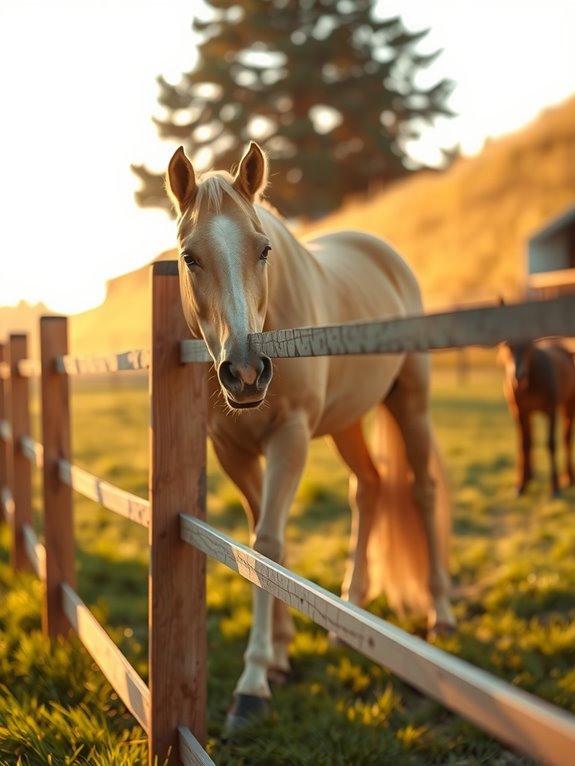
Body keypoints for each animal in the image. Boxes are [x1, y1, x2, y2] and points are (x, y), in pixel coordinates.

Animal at [166, 141, 455, 733]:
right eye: (189, 257)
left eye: (263, 250)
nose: (246, 372)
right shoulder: (232, 451)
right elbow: (261, 541)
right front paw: (279, 655)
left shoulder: (291, 437)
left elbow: (267, 545)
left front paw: (253, 682)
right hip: (347, 424)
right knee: (368, 487)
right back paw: (352, 609)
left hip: (409, 402)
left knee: (421, 490)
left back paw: (440, 613)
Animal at [499, 339, 575, 496]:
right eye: (509, 346)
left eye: (528, 346)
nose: (518, 376)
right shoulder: (521, 412)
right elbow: (525, 444)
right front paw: (520, 486)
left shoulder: (551, 411)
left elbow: (551, 444)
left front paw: (555, 487)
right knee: (528, 439)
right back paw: (528, 478)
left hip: (569, 404)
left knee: (567, 437)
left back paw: (568, 478)